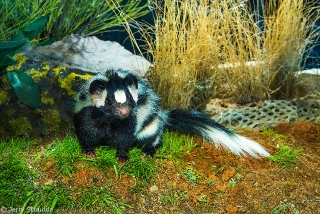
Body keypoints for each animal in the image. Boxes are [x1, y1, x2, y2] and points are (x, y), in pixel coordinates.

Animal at [73, 69, 270, 160]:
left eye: (130, 101)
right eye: (109, 102)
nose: (124, 111)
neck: (109, 121)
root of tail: (162, 115)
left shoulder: (129, 122)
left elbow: (124, 138)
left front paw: (122, 156)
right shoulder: (87, 115)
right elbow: (86, 133)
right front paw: (89, 151)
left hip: (150, 124)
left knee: (150, 138)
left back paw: (148, 151)